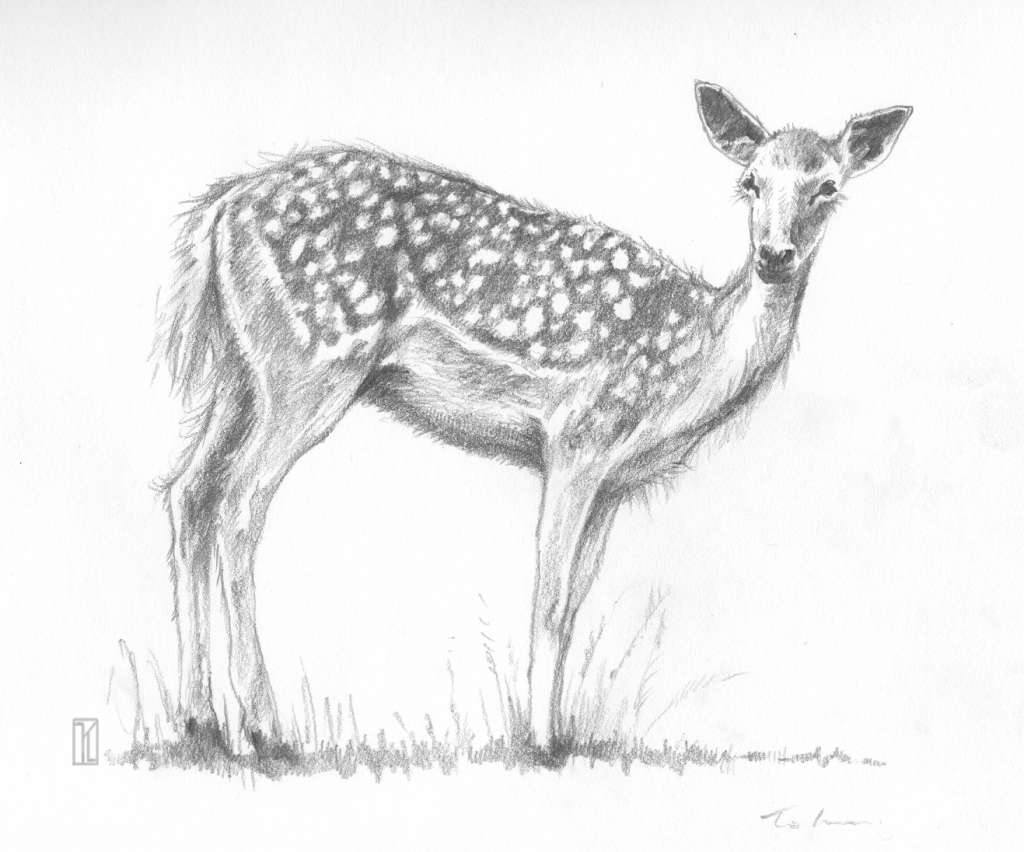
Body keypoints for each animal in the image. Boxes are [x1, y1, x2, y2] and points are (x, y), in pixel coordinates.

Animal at [154, 81, 911, 756]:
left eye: (828, 186)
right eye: (750, 181)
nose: (775, 255)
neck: (688, 363)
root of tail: (220, 211)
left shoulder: (614, 483)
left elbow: (573, 603)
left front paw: (564, 732)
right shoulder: (578, 437)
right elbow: (546, 598)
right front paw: (540, 741)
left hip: (240, 371)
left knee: (190, 490)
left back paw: (199, 722)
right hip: (309, 364)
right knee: (240, 502)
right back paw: (262, 729)